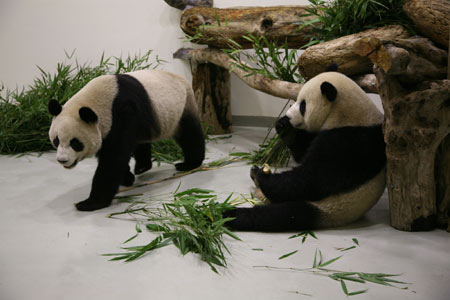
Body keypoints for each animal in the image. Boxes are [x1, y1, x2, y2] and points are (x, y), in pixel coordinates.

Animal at [48, 69, 206, 211]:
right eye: (56, 141)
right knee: (141, 141)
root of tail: (182, 78)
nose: (62, 160)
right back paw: (142, 167)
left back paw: (189, 164)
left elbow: (114, 158)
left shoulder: (122, 113)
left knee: (189, 135)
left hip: (183, 107)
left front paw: (90, 203)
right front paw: (127, 178)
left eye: (75, 143)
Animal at [225, 66, 386, 232]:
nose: (289, 116)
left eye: (303, 106)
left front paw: (263, 175)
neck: (347, 114)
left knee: (284, 215)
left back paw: (231, 214)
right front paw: (285, 128)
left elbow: (313, 177)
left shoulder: (349, 141)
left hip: (329, 208)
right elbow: (302, 153)